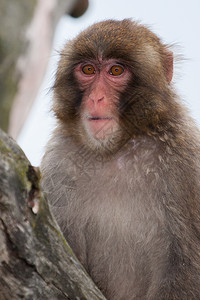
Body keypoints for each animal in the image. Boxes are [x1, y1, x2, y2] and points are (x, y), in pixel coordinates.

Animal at [41, 19, 200, 298]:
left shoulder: (185, 165)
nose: (96, 97)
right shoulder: (58, 164)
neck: (115, 150)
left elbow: (184, 267)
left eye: (116, 70)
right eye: (88, 69)